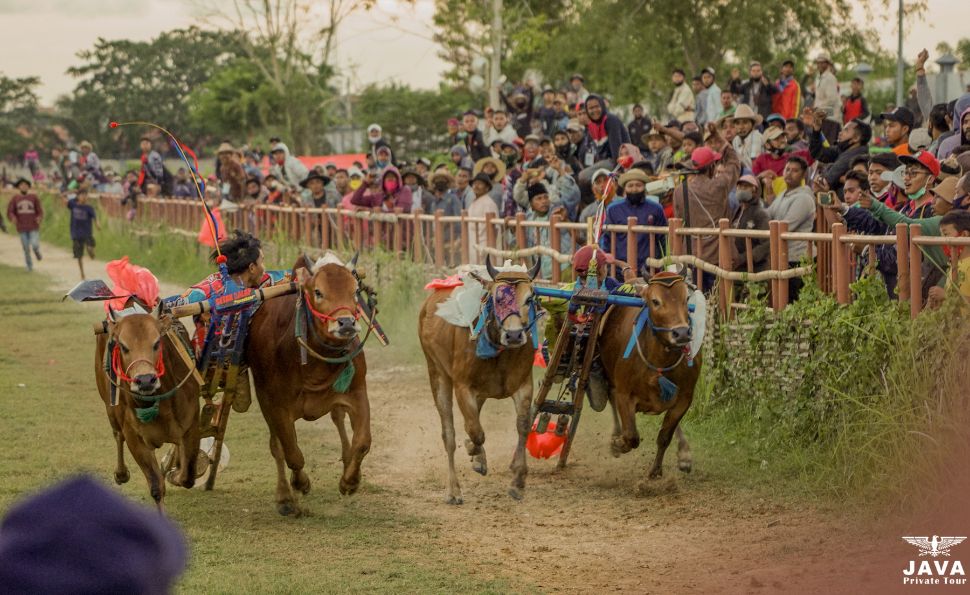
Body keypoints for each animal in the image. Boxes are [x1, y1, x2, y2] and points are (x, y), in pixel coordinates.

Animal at [94, 308, 200, 512]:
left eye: (157, 342)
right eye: (123, 346)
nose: (145, 380)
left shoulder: (191, 427)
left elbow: (187, 476)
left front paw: (174, 472)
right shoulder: (135, 439)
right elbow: (156, 486)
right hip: (109, 409)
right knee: (117, 435)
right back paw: (121, 473)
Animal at [246, 256, 370, 516]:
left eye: (355, 291)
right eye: (318, 292)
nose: (346, 323)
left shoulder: (357, 393)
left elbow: (362, 442)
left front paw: (350, 482)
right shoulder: (277, 407)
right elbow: (291, 453)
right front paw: (299, 484)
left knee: (339, 421)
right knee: (277, 447)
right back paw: (284, 497)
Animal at [414, 258, 540, 506]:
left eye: (529, 298)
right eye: (497, 298)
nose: (514, 335)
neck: (499, 350)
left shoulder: (524, 384)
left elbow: (523, 425)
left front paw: (518, 481)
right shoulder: (463, 387)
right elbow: (475, 431)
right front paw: (473, 450)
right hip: (437, 373)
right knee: (450, 433)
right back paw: (454, 489)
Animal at [592, 272, 700, 482]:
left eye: (686, 298)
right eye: (655, 301)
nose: (682, 333)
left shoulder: (684, 398)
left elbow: (664, 436)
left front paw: (656, 470)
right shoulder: (624, 394)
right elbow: (631, 437)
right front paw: (618, 443)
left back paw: (684, 453)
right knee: (611, 402)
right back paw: (616, 437)